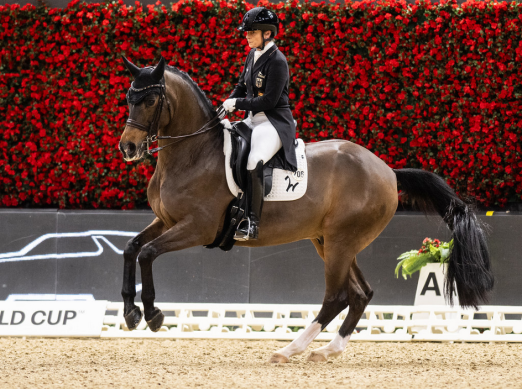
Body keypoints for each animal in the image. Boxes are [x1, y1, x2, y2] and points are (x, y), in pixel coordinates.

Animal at [118, 56, 492, 362]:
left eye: (149, 100)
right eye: (128, 98)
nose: (128, 147)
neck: (193, 154)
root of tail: (386, 169)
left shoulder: (198, 226)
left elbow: (148, 253)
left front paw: (152, 314)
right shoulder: (166, 220)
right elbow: (132, 248)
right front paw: (130, 312)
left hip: (341, 242)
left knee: (337, 296)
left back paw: (290, 349)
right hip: (330, 242)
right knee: (360, 294)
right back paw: (328, 350)